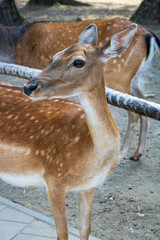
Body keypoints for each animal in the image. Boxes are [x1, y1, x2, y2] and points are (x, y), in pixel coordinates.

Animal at [0, 17, 159, 160]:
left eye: (78, 62)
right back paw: (137, 153)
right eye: (55, 57)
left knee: (134, 111)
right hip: (134, 78)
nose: (28, 87)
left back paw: (123, 154)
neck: (16, 45)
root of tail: (150, 34)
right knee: (141, 101)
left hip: (120, 76)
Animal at [0, 23, 138, 238]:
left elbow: (85, 228)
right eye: (55, 56)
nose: (29, 86)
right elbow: (62, 233)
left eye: (78, 62)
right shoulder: (53, 179)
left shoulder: (90, 186)